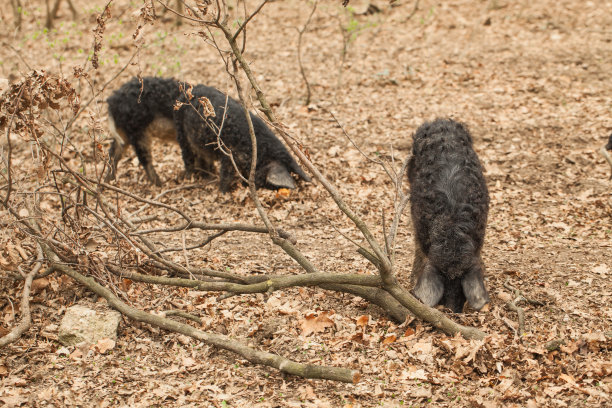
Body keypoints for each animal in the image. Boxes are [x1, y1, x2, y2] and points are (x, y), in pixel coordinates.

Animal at [175, 85, 310, 193]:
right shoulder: (229, 154)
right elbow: (227, 174)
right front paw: (222, 192)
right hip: (180, 130)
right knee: (187, 154)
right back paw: (189, 176)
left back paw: (207, 175)